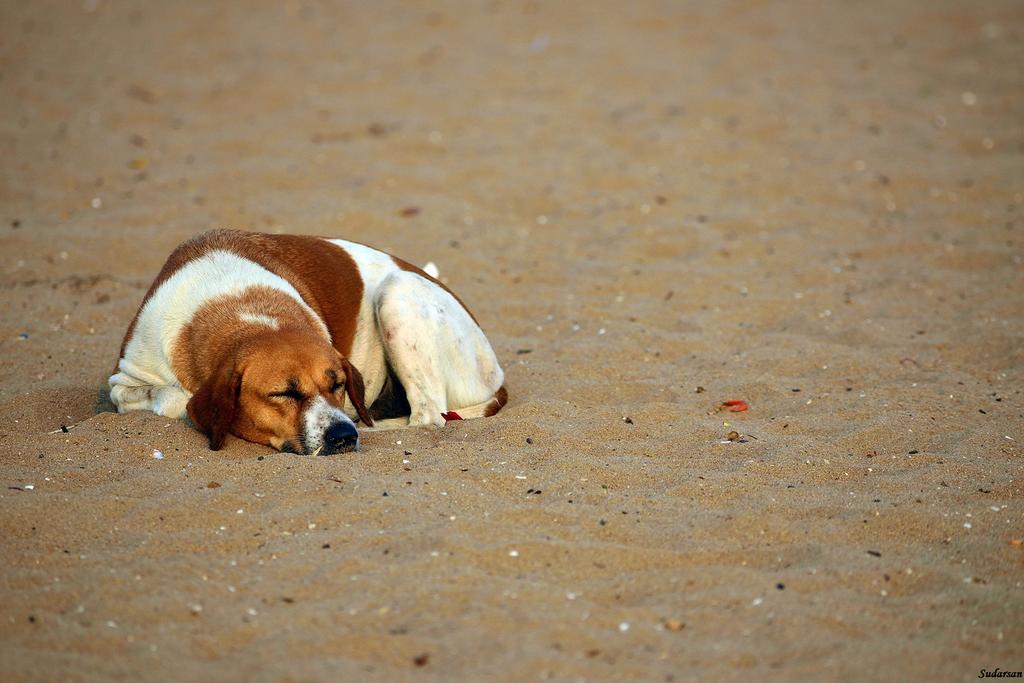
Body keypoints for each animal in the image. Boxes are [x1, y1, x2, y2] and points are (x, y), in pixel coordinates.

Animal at [108, 229, 506, 455]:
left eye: (339, 385)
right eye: (283, 393)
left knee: (428, 416)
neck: (244, 308)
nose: (344, 435)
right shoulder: (124, 380)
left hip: (397, 291)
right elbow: (166, 395)